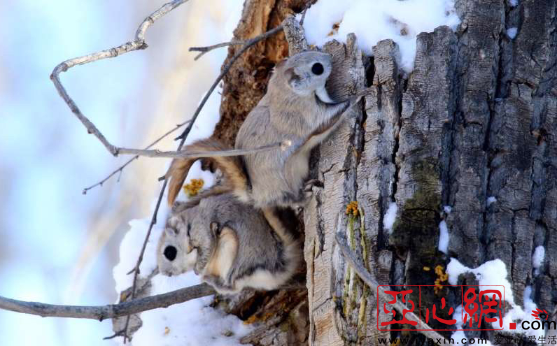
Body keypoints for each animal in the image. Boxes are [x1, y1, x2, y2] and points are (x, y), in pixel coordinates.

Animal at [154, 193, 302, 294]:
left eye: (169, 252)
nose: (165, 273)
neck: (189, 224)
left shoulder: (202, 230)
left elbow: (206, 249)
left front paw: (197, 269)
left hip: (228, 245)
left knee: (232, 288)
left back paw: (211, 280)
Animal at [164, 49, 364, 211]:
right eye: (317, 68)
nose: (330, 57)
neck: (284, 92)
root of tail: (256, 194)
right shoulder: (307, 116)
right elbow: (332, 116)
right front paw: (362, 94)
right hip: (283, 183)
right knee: (289, 200)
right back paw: (305, 194)